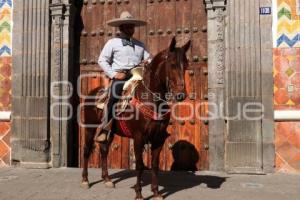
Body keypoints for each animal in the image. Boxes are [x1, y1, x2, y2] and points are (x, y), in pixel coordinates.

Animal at [81, 36, 191, 199]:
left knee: (104, 150)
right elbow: (139, 165)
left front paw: (156, 192)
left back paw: (107, 179)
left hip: (110, 131)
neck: (151, 99)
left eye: (186, 65)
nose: (181, 95)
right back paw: (85, 180)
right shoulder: (139, 137)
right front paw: (139, 193)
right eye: (172, 64)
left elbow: (154, 164)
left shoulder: (158, 138)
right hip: (89, 128)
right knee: (87, 150)